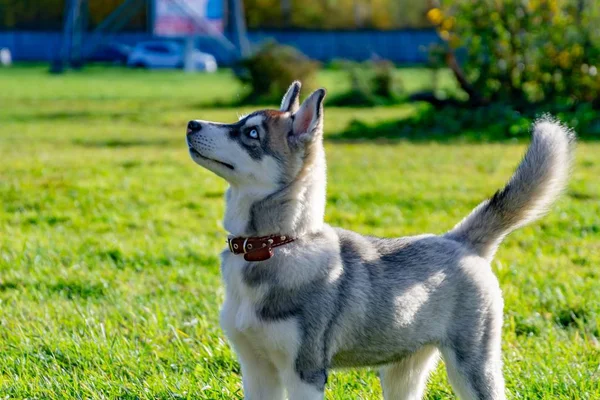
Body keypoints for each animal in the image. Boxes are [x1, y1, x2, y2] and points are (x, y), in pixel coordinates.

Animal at [185, 82, 576, 400]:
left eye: (251, 133)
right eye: (238, 123)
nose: (191, 124)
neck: (274, 244)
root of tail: (458, 241)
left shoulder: (305, 371)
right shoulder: (256, 369)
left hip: (473, 365)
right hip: (403, 371)